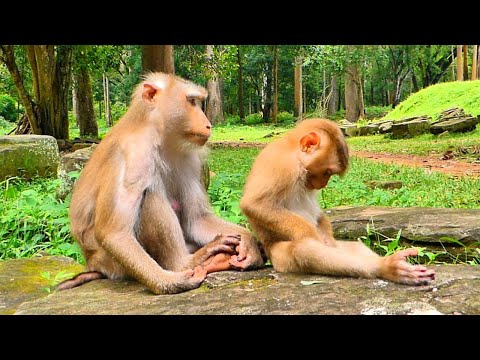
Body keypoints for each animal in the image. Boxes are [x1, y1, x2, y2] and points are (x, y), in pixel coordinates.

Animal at [60, 71, 264, 294]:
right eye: (191, 101)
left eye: (197, 102)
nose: (208, 123)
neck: (158, 136)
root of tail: (93, 263)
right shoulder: (135, 155)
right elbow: (114, 233)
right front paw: (171, 283)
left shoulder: (190, 159)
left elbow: (197, 219)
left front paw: (249, 243)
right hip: (112, 263)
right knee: (150, 194)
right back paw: (186, 263)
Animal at [240, 119, 436, 286]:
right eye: (327, 171)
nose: (323, 184)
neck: (293, 153)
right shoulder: (280, 164)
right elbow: (254, 205)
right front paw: (312, 234)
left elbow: (319, 217)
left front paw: (326, 236)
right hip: (279, 257)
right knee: (304, 250)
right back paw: (387, 267)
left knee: (353, 247)